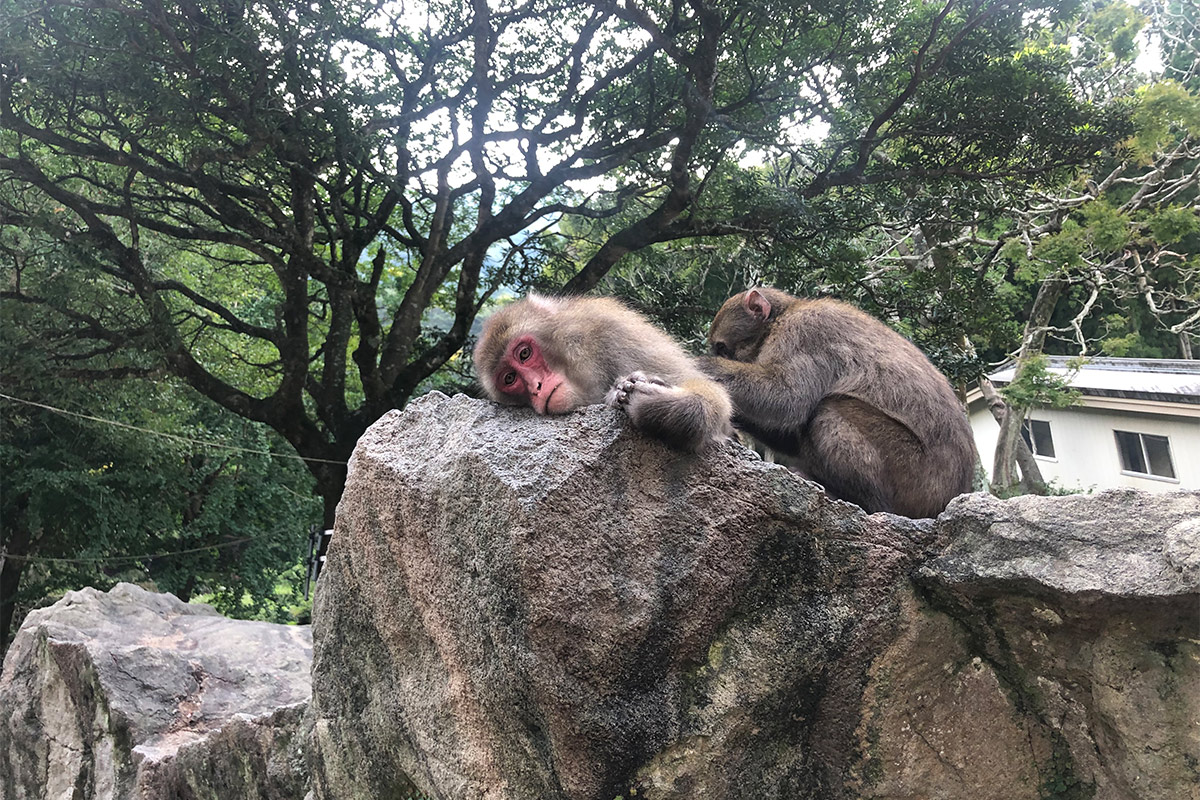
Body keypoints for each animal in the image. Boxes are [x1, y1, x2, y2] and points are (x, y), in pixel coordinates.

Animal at [472, 296, 734, 455]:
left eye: (524, 353)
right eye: (509, 378)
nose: (537, 386)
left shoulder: (614, 329)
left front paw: (661, 405)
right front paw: (619, 393)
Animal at [700, 287, 974, 520]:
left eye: (721, 349)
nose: (715, 354)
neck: (783, 315)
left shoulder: (804, 331)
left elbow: (786, 397)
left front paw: (704, 367)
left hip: (912, 477)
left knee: (828, 410)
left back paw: (860, 502)